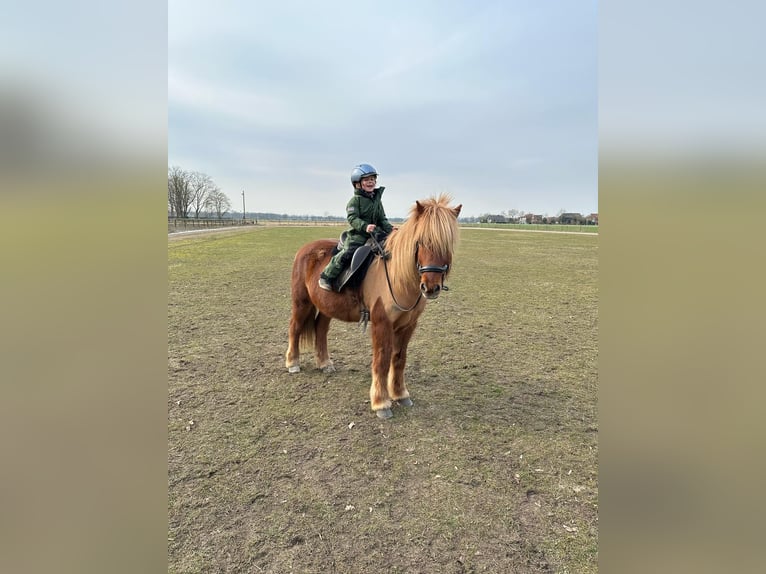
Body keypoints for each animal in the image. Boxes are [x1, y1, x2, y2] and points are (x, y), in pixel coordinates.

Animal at [285, 194, 462, 419]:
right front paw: (381, 403)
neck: (396, 276)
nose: (430, 287)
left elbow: (399, 358)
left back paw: (324, 363)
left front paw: (400, 394)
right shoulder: (381, 323)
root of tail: (305, 249)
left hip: (326, 306)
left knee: (321, 329)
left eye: (447, 244)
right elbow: (382, 360)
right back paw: (293, 363)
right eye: (421, 241)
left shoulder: (408, 325)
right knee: (295, 327)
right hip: (302, 302)